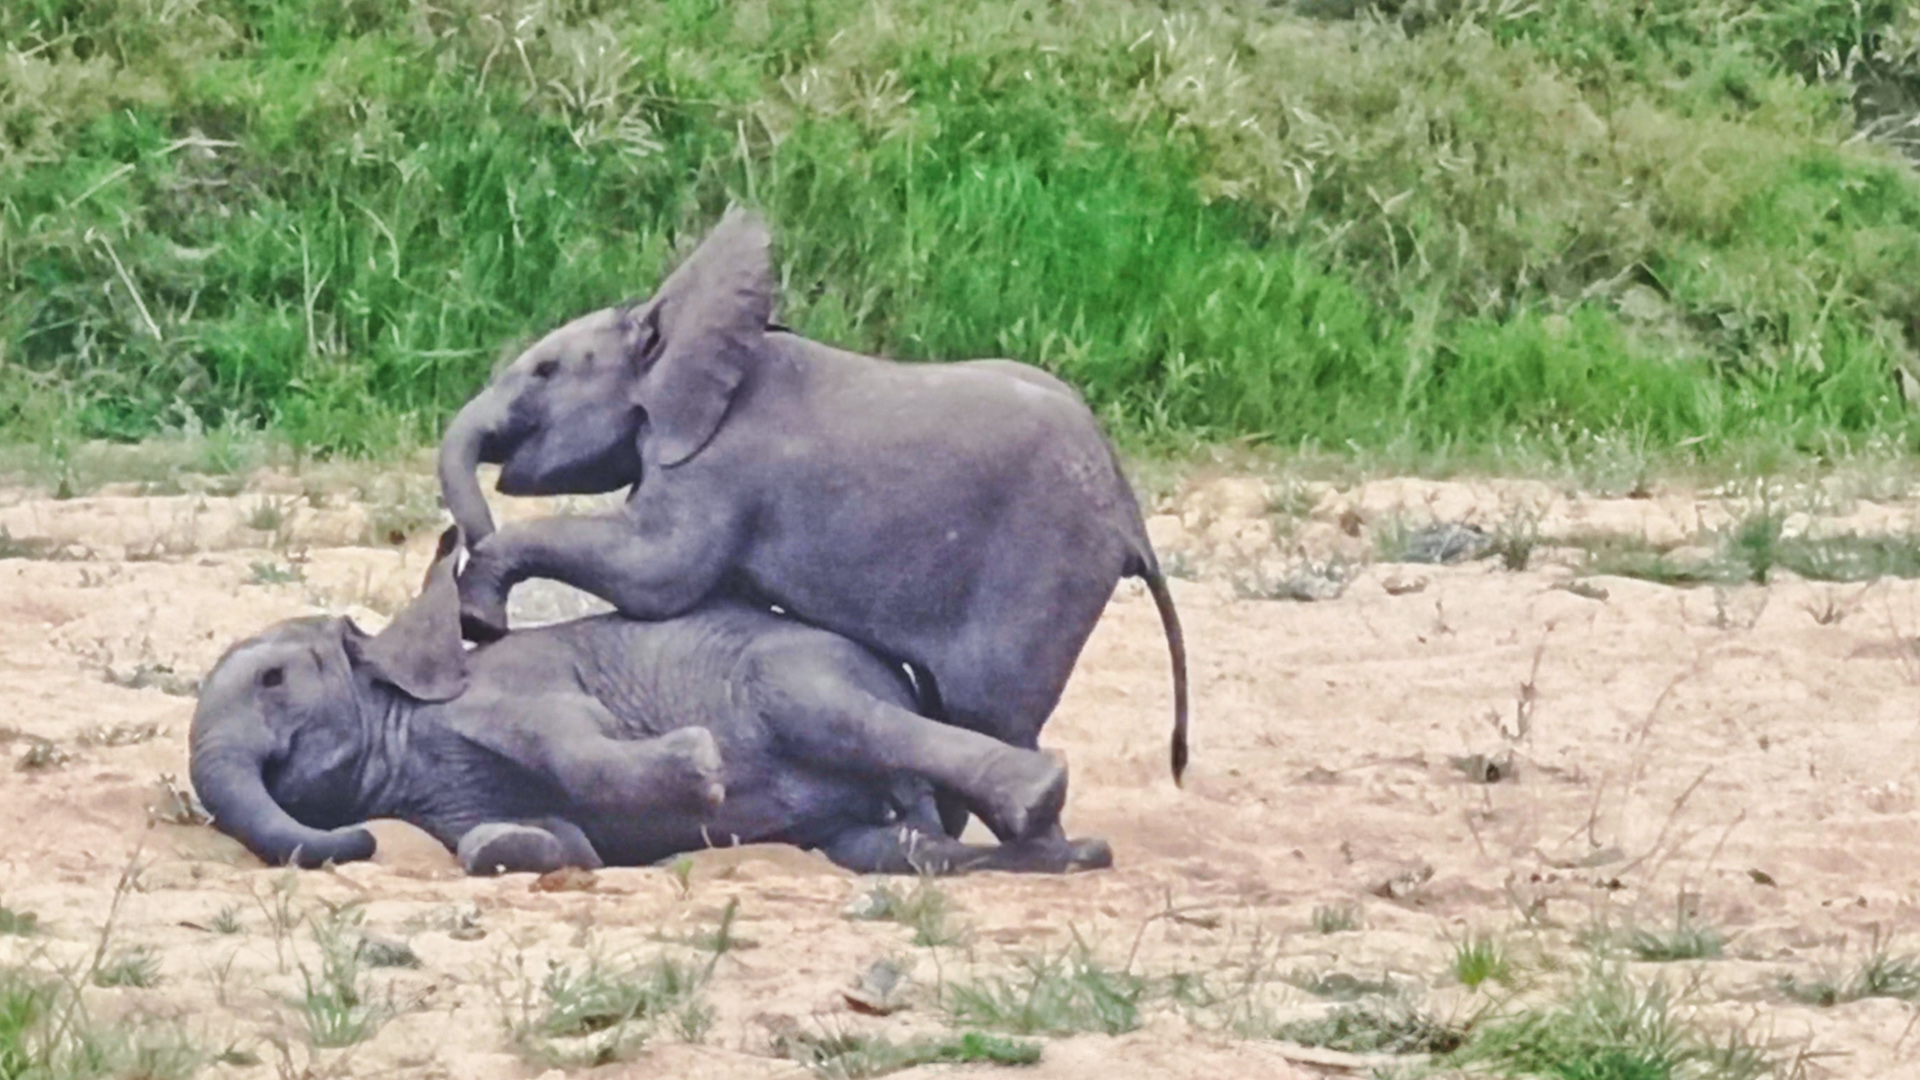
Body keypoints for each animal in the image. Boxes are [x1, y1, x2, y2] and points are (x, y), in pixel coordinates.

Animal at [187, 528, 1111, 877]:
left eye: (273, 680)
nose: (367, 844)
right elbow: (525, 839)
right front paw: (526, 847)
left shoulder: (522, 686)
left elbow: (575, 742)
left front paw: (699, 768)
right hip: (861, 823)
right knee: (883, 849)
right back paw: (1068, 855)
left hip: (797, 668)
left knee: (844, 720)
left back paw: (1041, 805)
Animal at [439, 209, 1188, 846]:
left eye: (545, 370)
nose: (474, 621)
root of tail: (1129, 514)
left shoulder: (719, 465)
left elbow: (657, 577)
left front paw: (480, 604)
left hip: (1044, 566)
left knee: (988, 709)